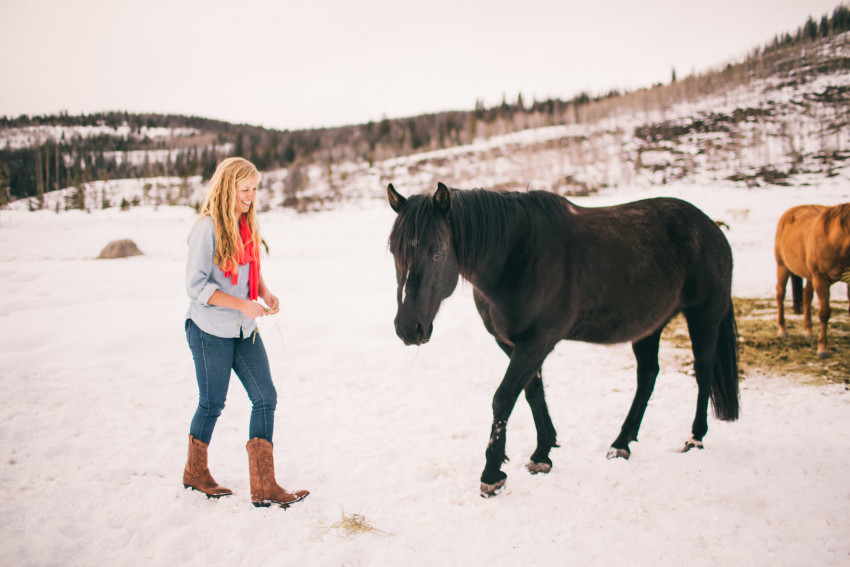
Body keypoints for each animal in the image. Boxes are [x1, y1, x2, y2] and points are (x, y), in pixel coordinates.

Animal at [388, 183, 740, 496]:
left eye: (437, 251)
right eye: (393, 250)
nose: (407, 328)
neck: (516, 258)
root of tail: (712, 228)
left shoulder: (538, 341)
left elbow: (504, 398)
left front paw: (492, 474)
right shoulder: (512, 343)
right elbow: (532, 392)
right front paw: (543, 452)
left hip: (703, 317)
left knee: (703, 372)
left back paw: (694, 438)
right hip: (649, 326)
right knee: (648, 376)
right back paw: (621, 444)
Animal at [776, 202, 848, 358]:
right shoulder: (821, 279)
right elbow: (824, 313)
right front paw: (822, 349)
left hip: (809, 276)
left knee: (807, 296)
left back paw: (808, 331)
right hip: (783, 266)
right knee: (780, 294)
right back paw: (783, 330)